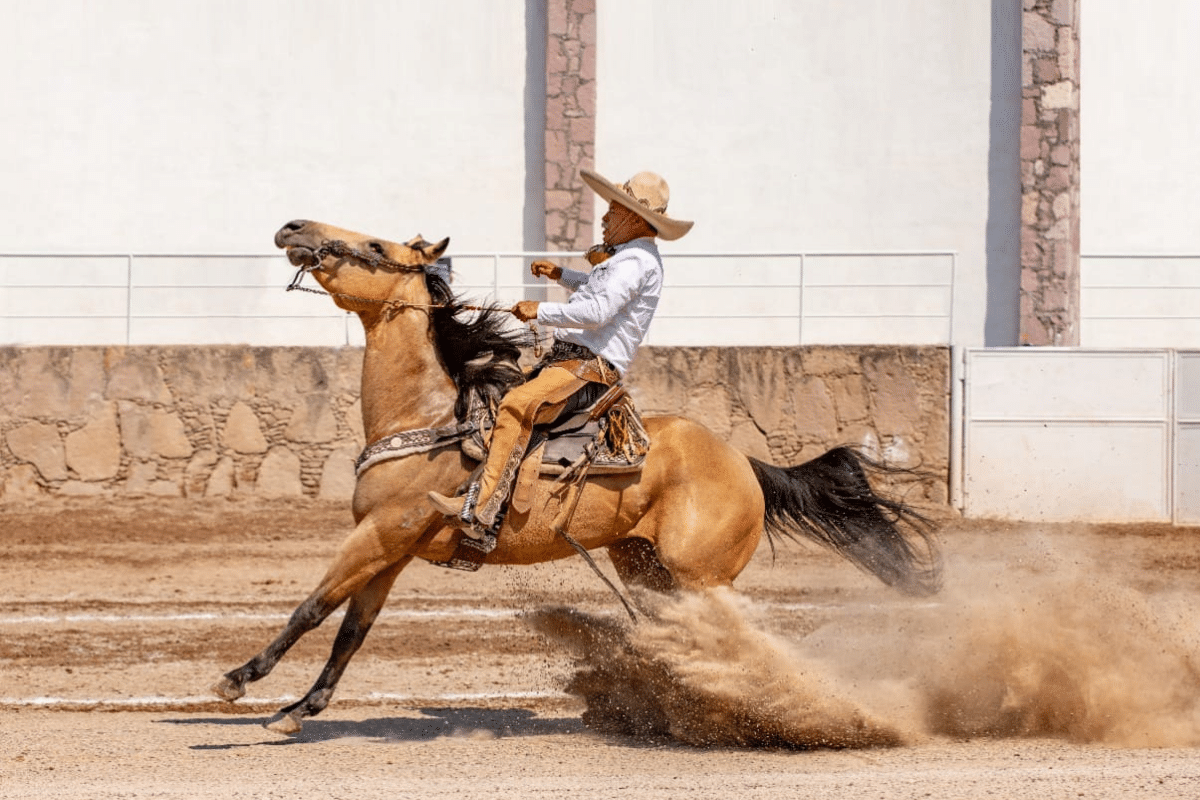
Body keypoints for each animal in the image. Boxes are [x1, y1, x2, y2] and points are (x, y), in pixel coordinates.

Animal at [211, 217, 940, 734]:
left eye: (373, 242)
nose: (293, 227)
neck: (428, 415)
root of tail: (745, 462)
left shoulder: (381, 534)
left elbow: (312, 607)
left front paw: (239, 680)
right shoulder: (390, 550)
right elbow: (350, 630)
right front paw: (299, 709)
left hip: (700, 575)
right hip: (642, 565)